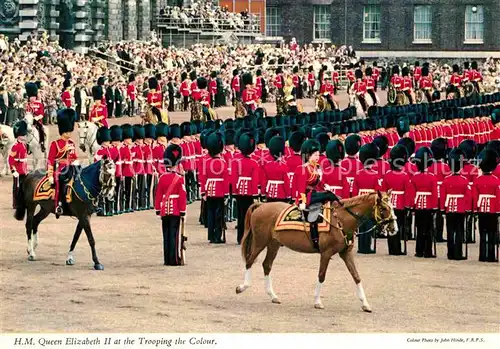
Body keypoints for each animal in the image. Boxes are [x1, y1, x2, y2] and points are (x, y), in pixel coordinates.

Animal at [236, 192, 396, 312]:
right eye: (383, 208)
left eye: (392, 206)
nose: (394, 228)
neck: (341, 220)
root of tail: (261, 205)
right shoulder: (326, 253)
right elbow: (321, 275)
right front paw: (317, 301)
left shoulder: (346, 253)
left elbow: (356, 276)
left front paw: (365, 304)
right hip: (260, 242)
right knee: (250, 261)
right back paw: (242, 287)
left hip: (273, 244)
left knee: (266, 265)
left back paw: (273, 296)